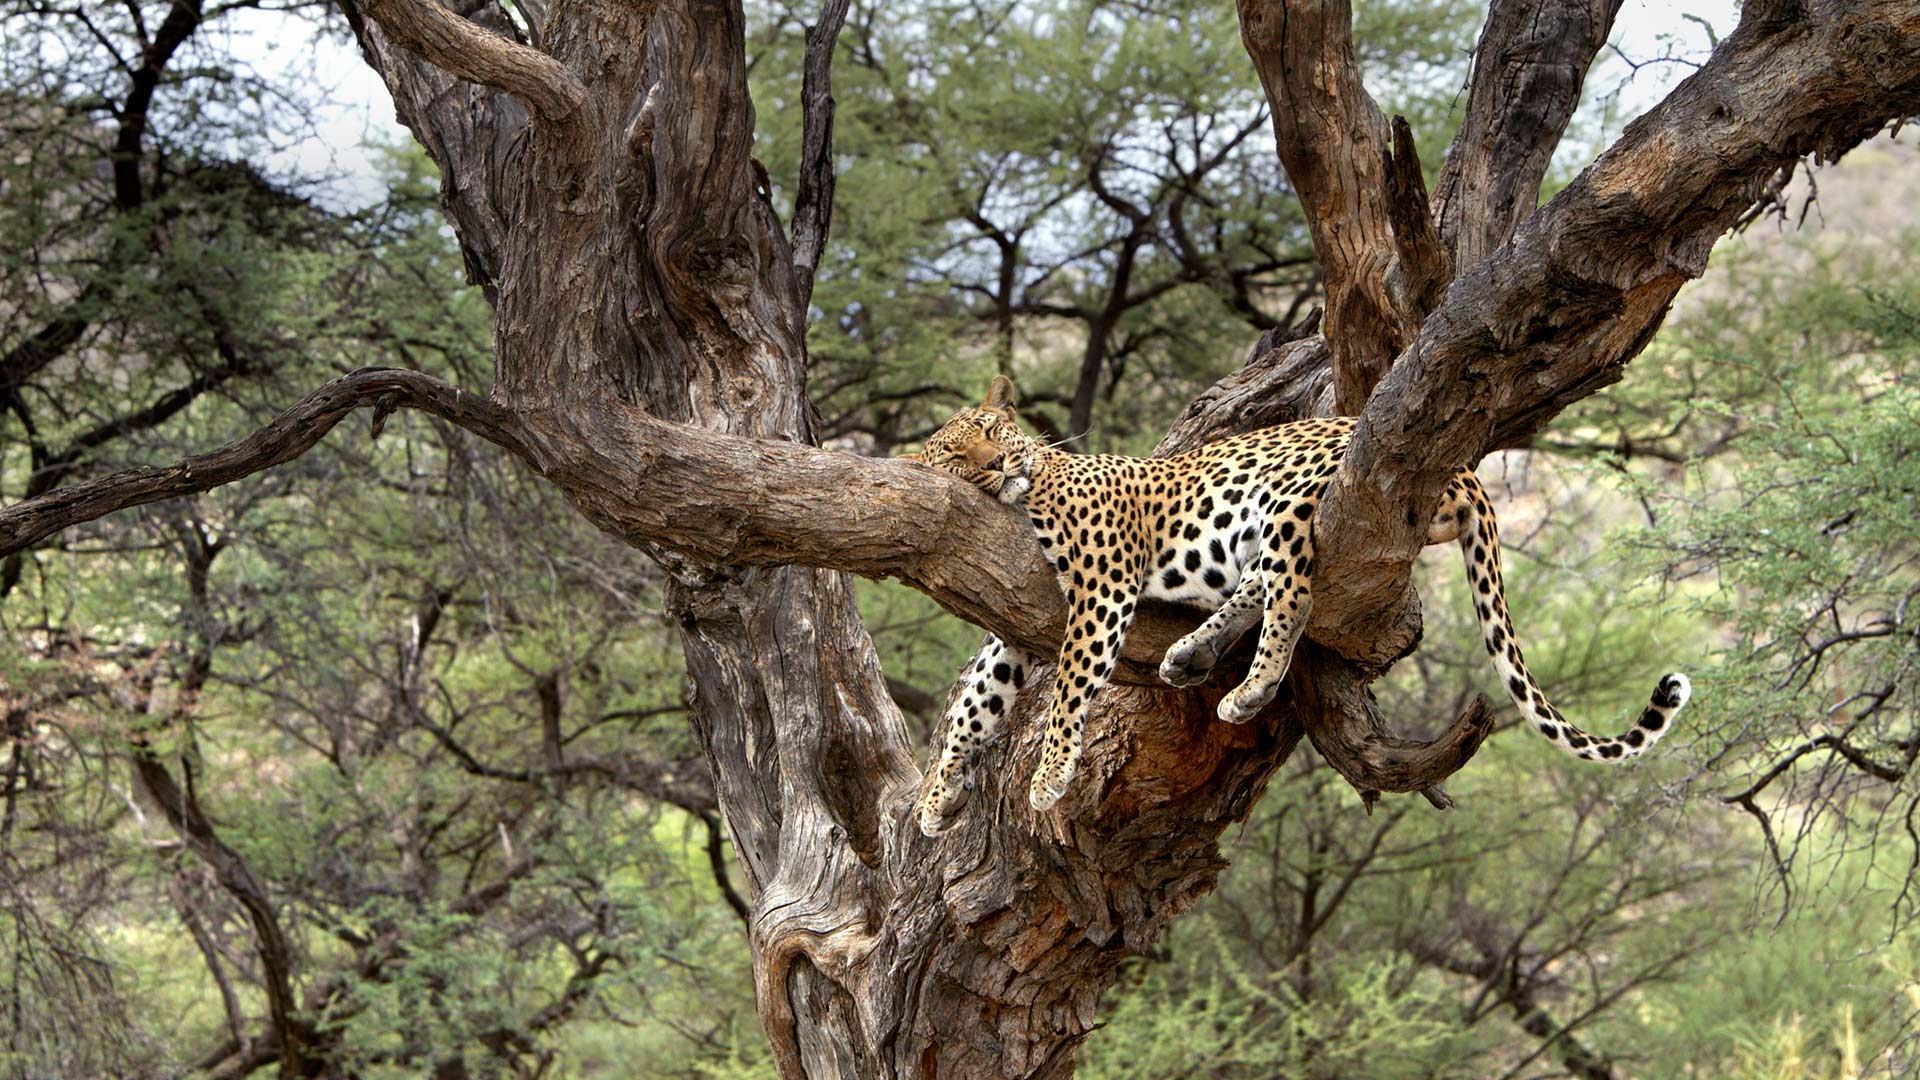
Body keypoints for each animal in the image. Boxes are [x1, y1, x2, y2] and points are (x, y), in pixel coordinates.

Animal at [905, 376, 1691, 837]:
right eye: (956, 456)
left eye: (994, 434)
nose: (998, 465)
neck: (1032, 487)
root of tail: (1466, 468)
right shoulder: (1017, 622)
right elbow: (975, 702)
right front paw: (936, 796)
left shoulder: (1102, 586)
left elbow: (1070, 687)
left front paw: (1049, 777)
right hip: (1257, 530)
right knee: (1261, 584)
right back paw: (1191, 654)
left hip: (1288, 499)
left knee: (1294, 595)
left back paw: (1249, 688)